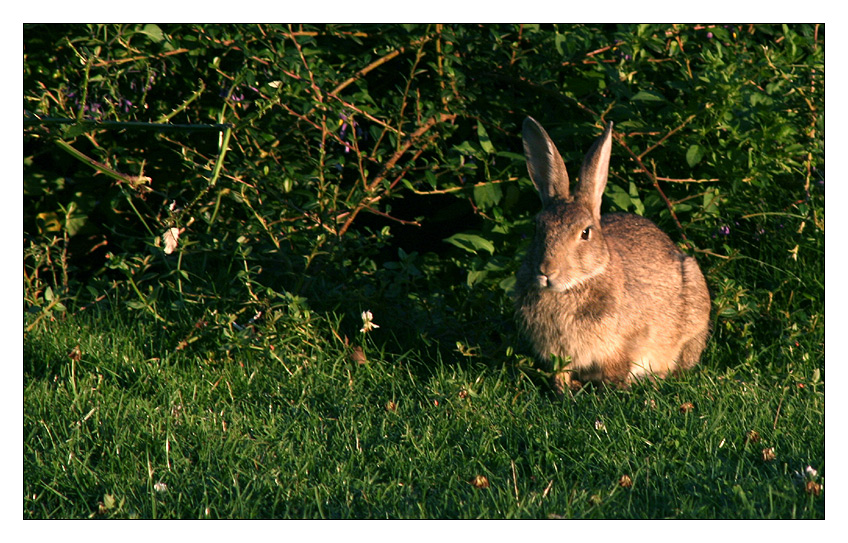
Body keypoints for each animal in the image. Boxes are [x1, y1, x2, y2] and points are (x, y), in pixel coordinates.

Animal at [516, 117, 708, 394]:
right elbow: (561, 372)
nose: (546, 270)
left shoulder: (624, 344)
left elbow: (616, 370)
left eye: (585, 233)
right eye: (536, 227)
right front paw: (563, 388)